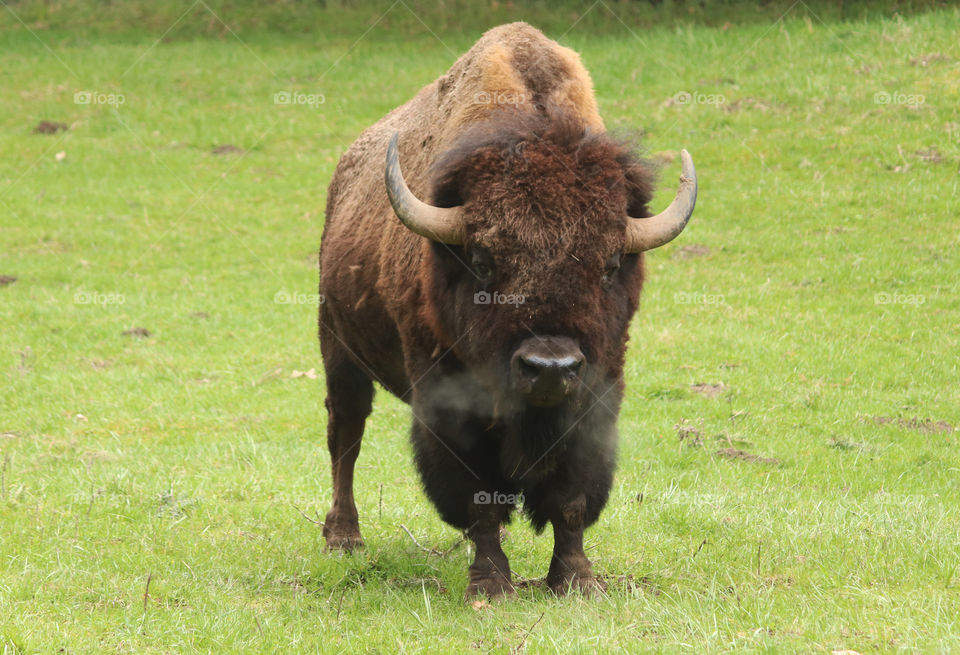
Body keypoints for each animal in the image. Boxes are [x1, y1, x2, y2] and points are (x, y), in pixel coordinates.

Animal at [318, 23, 692, 600]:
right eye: (481, 260)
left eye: (609, 263)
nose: (550, 367)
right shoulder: (451, 407)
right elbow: (480, 499)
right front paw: (491, 586)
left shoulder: (597, 396)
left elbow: (571, 499)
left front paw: (577, 582)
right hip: (339, 351)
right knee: (346, 438)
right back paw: (343, 539)